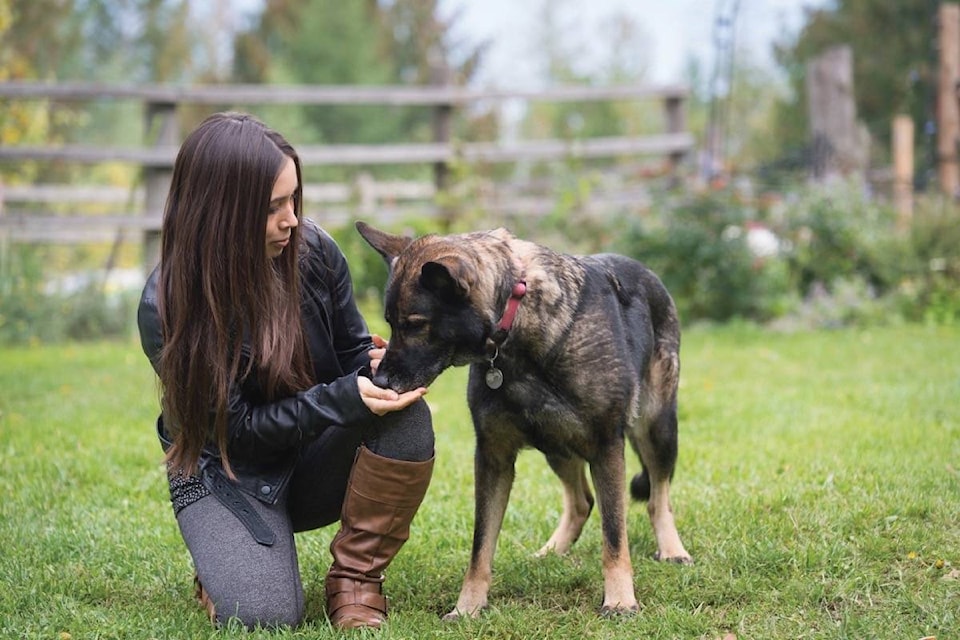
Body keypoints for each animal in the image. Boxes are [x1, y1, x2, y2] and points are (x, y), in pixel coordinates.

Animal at [356, 221, 692, 620]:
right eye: (391, 323)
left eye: (416, 324)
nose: (379, 382)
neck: (516, 322)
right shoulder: (493, 458)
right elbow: (481, 545)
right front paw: (468, 607)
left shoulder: (607, 447)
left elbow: (614, 535)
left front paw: (621, 600)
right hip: (557, 444)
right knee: (582, 502)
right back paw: (552, 551)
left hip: (656, 429)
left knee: (657, 497)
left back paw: (672, 549)